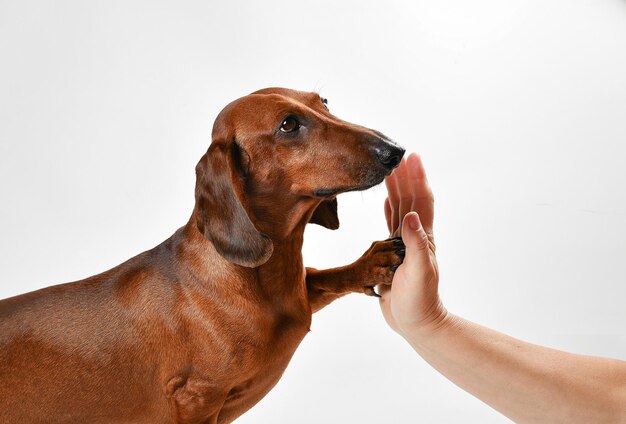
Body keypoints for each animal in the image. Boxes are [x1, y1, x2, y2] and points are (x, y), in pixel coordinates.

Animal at [0, 88, 404, 422]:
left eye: (324, 102)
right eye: (289, 124)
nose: (394, 150)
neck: (249, 280)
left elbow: (320, 278)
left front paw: (371, 264)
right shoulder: (196, 399)